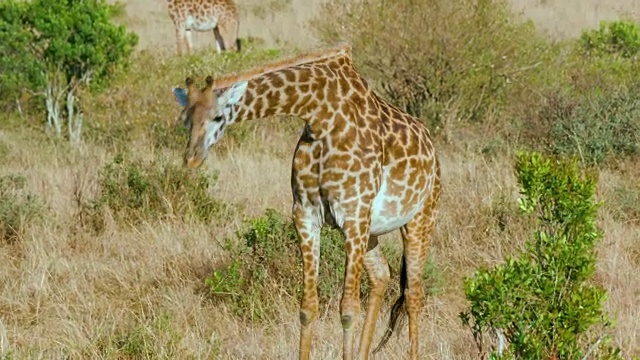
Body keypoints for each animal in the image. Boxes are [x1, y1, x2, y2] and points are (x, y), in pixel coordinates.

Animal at [169, 43, 440, 358]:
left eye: (217, 117)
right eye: (184, 121)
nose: (192, 159)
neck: (320, 116)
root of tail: (433, 149)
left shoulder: (353, 214)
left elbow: (348, 309)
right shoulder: (306, 214)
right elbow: (307, 307)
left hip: (421, 218)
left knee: (413, 295)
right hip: (372, 230)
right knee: (381, 275)